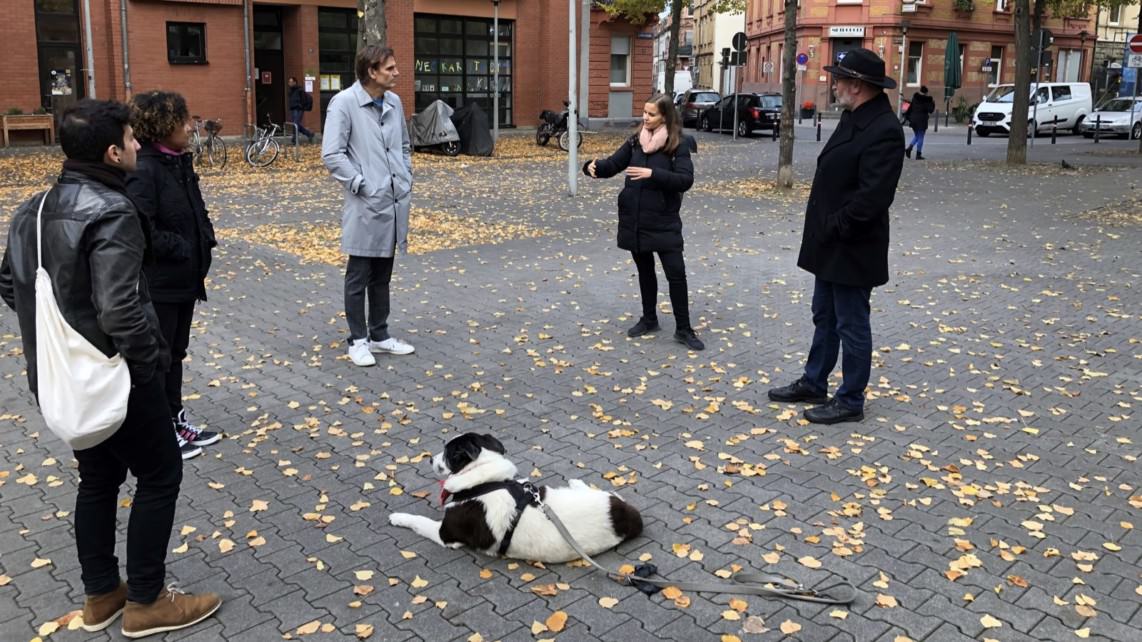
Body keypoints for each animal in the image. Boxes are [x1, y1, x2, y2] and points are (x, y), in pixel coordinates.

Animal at [388, 429, 644, 559]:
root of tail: (630, 518)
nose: (430, 460)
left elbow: (419, 521)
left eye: (447, 453)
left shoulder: (446, 535)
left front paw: (398, 517)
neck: (483, 479)